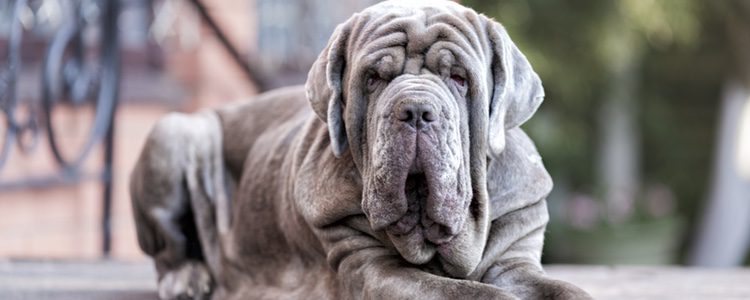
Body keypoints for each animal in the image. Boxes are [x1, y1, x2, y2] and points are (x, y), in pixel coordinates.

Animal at [132, 1, 596, 298]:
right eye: (374, 78)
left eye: (459, 78)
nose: (416, 110)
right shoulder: (372, 270)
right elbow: (474, 294)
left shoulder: (515, 261)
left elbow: (567, 290)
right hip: (175, 133)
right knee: (168, 247)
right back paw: (186, 278)